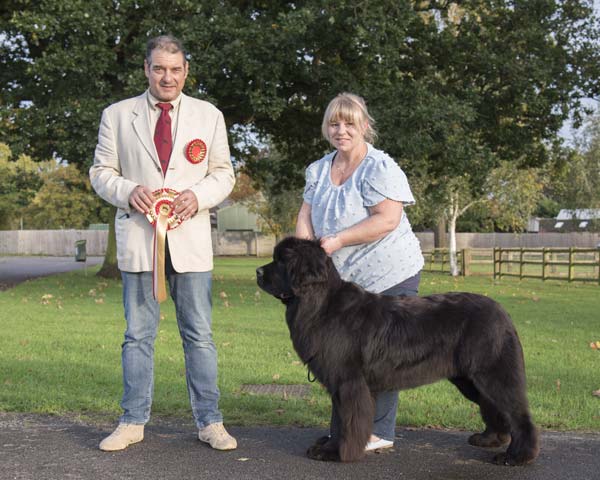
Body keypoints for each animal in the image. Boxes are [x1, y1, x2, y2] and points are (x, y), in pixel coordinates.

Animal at [255, 237, 540, 464]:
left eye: (282, 261)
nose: (257, 271)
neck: (320, 303)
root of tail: (503, 313)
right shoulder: (339, 383)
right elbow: (339, 420)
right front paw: (330, 446)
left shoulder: (349, 382)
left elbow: (347, 420)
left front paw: (336, 453)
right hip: (468, 379)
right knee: (493, 405)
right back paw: (491, 439)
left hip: (492, 373)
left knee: (517, 413)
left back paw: (517, 456)